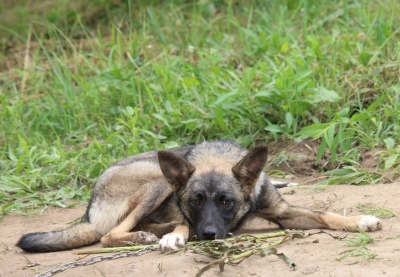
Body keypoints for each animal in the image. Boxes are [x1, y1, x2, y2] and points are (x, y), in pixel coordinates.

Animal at [16, 139, 382, 251]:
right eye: (195, 201)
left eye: (226, 202)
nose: (207, 235)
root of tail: (89, 210)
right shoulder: (184, 209)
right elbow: (183, 224)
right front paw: (175, 236)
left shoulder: (282, 212)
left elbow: (325, 215)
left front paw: (361, 221)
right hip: (157, 181)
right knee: (109, 235)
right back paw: (149, 235)